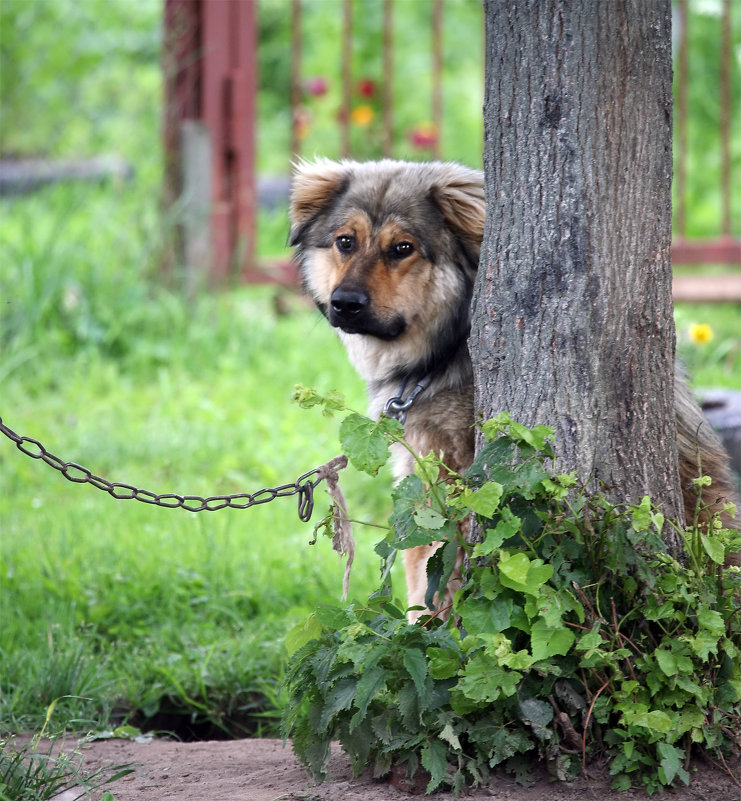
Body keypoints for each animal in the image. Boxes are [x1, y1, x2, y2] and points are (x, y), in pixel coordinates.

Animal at [290, 156, 740, 620]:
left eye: (402, 248)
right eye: (345, 242)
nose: (345, 303)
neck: (450, 348)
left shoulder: (446, 473)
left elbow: (428, 569)